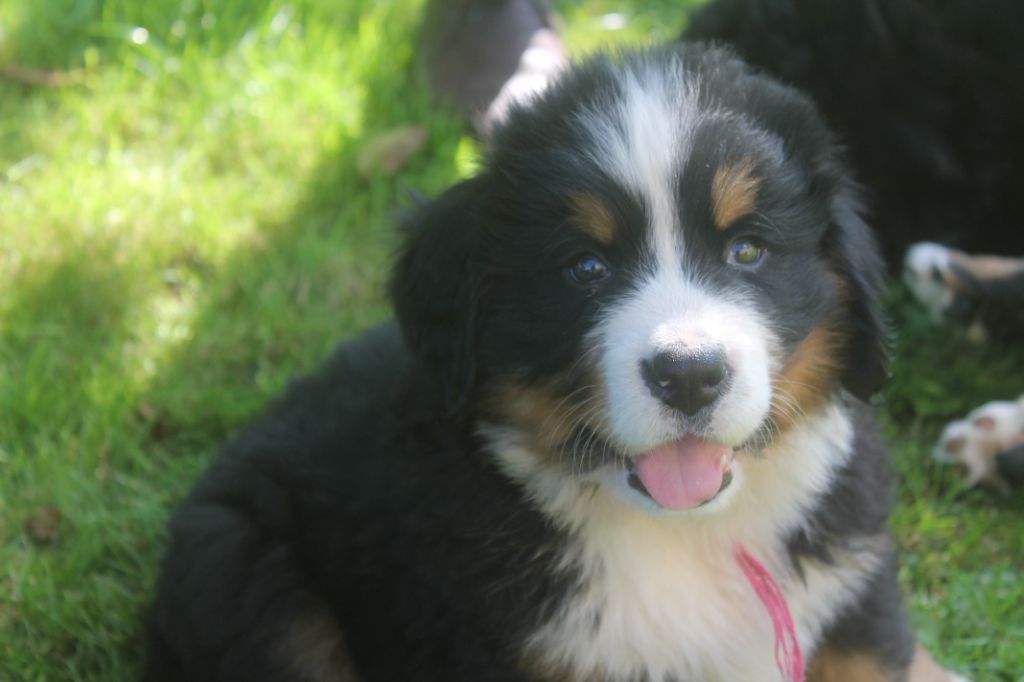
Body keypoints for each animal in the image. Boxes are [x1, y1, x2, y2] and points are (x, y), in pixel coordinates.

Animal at [144, 46, 966, 679]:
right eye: (585, 269)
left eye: (748, 250)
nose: (689, 374)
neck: (687, 535)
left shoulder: (852, 582)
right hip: (246, 572)